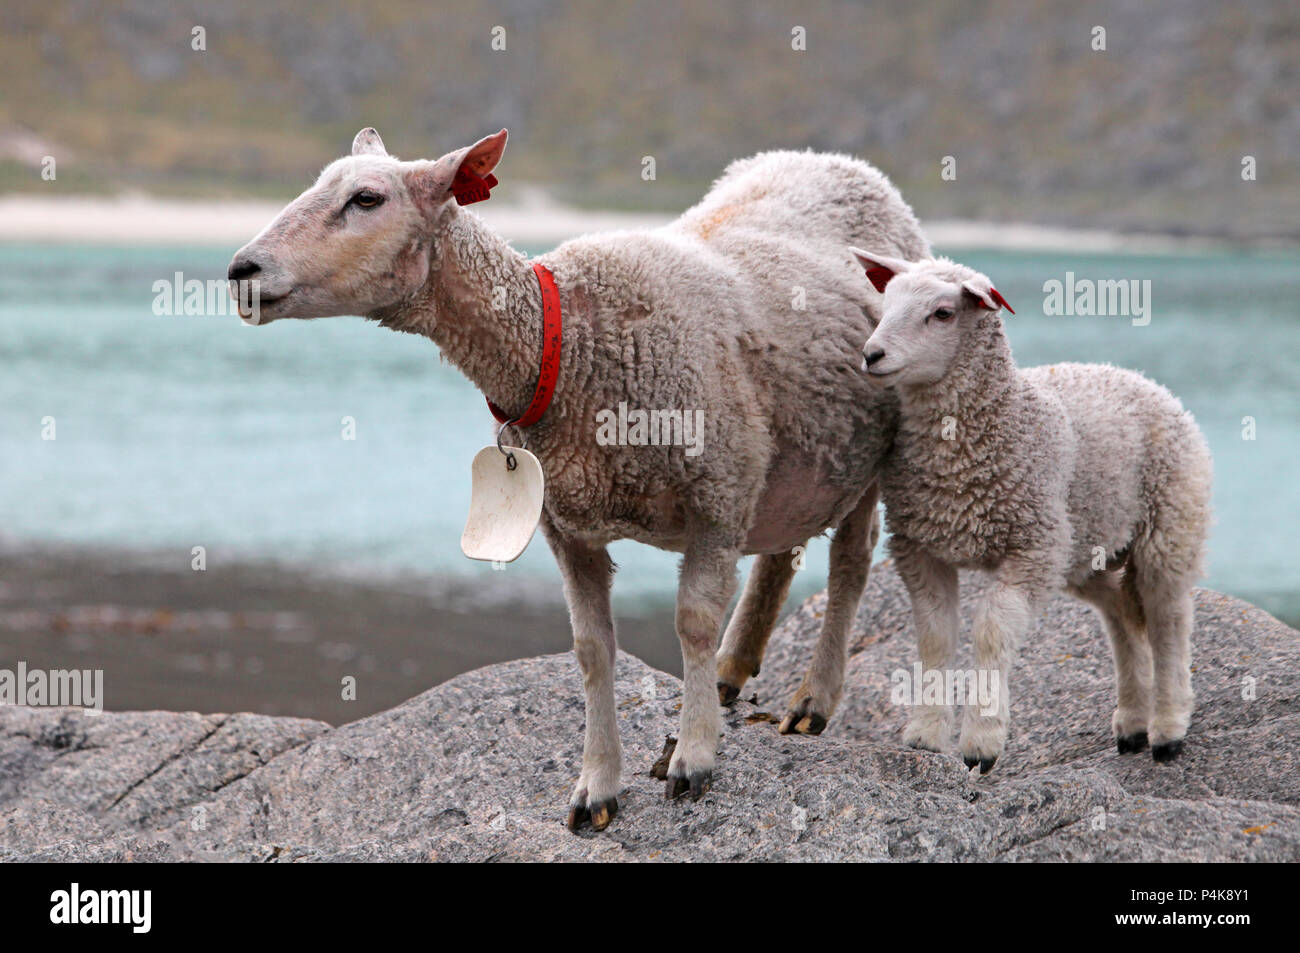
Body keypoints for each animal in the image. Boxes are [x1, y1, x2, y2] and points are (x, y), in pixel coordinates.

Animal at [226, 127, 931, 830]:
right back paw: (732, 671)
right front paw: (596, 787)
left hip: (867, 446)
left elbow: (693, 622)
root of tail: (832, 160)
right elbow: (591, 650)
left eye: (367, 199)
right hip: (790, 458)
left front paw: (694, 757)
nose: (240, 271)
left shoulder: (717, 490)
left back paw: (812, 700)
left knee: (850, 561)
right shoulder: (567, 524)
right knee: (781, 553)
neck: (561, 343)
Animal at [849, 249, 1212, 771]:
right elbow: (935, 637)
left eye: (942, 313)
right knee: (1122, 615)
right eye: (886, 302)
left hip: (1169, 524)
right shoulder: (920, 549)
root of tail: (1137, 377)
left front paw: (981, 742)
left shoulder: (1031, 548)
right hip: (1085, 546)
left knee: (1169, 619)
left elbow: (991, 631)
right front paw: (925, 734)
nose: (872, 355)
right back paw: (1132, 724)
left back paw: (1168, 728)